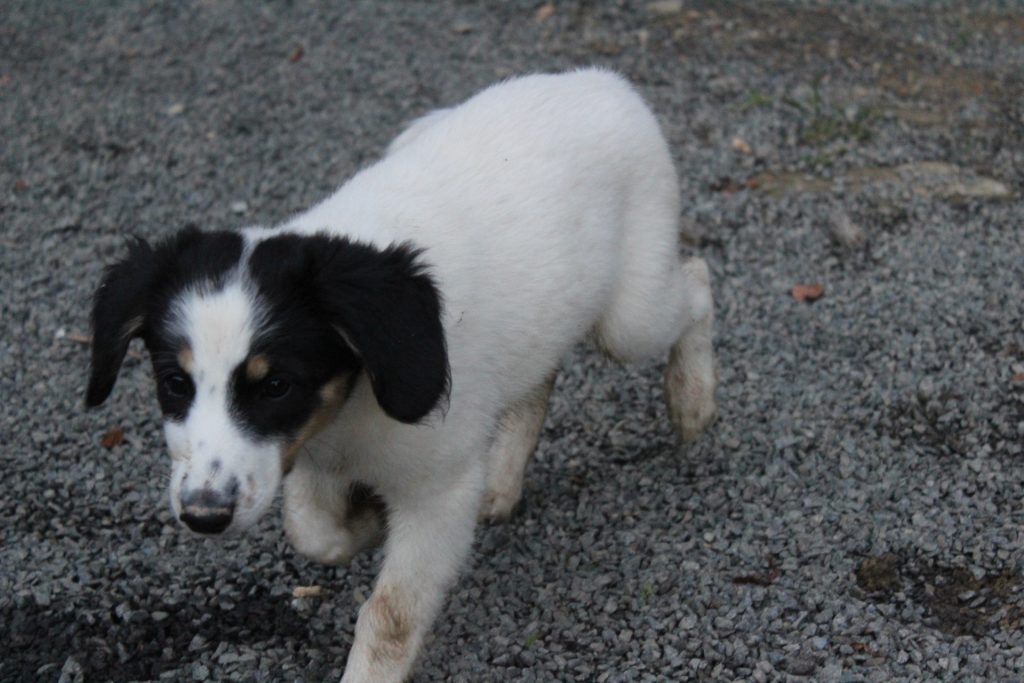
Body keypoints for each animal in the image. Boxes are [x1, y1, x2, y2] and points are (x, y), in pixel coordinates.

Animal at [86, 68, 717, 682]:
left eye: (275, 386)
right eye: (175, 384)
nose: (204, 516)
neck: (350, 406)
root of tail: (600, 79)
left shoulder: (438, 490)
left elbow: (391, 615)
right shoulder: (309, 451)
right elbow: (312, 531)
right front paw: (366, 521)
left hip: (630, 317)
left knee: (696, 279)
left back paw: (692, 400)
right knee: (538, 380)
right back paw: (502, 481)